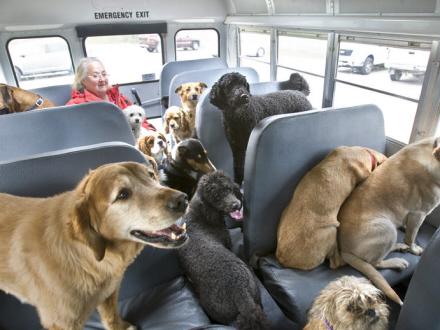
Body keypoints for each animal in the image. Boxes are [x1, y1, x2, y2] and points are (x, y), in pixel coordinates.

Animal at [0, 162, 187, 330]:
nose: (183, 200)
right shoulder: (61, 322)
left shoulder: (109, 292)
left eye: (151, 175)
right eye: (123, 194)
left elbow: (112, 316)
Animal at [177, 171, 270, 328]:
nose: (236, 205)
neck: (201, 214)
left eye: (229, 189)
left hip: (254, 292)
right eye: (216, 196)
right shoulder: (227, 242)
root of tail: (240, 293)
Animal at [336, 136, 440, 304]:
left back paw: (399, 247)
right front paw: (413, 248)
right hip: (388, 229)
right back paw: (398, 261)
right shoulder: (419, 213)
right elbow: (411, 238)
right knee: (375, 263)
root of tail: (343, 249)